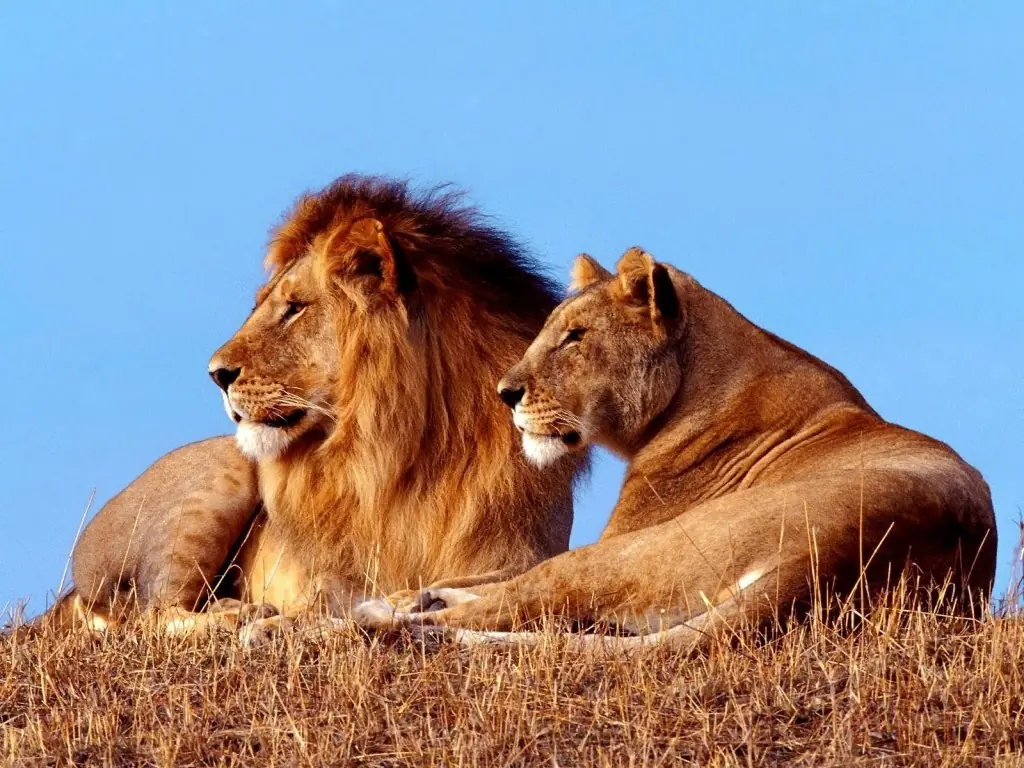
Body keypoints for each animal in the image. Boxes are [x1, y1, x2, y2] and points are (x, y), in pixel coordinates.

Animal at [46, 175, 586, 634]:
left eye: (294, 308)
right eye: (262, 303)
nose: (216, 374)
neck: (412, 451)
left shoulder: (527, 550)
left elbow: (505, 581)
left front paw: (422, 600)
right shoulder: (331, 577)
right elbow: (333, 602)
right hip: (222, 471)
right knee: (152, 615)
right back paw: (240, 616)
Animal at [354, 247, 998, 649]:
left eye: (575, 337)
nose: (504, 393)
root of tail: (839, 555)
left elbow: (509, 580)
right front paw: (425, 591)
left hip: (636, 552)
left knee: (528, 598)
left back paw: (381, 617)